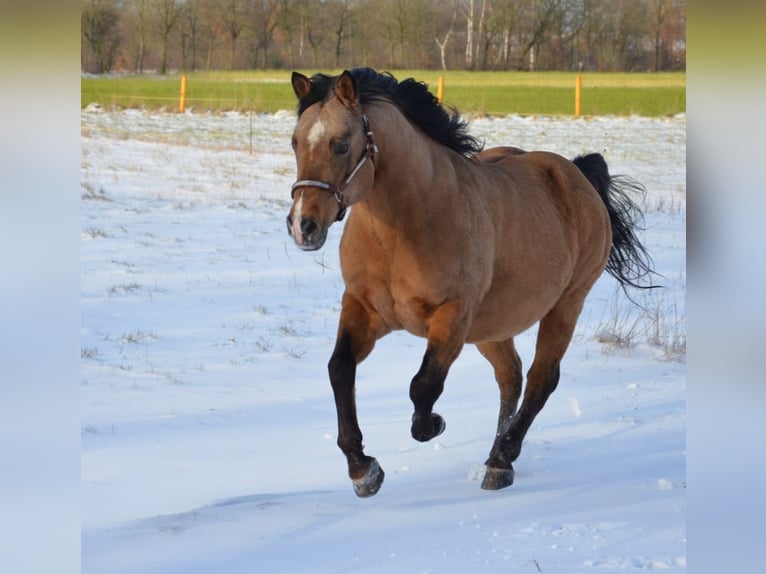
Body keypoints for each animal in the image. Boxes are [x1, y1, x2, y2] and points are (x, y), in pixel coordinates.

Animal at [285, 68, 654, 497]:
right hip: (493, 325)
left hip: (564, 306)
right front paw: (363, 470)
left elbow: (423, 385)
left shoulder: (453, 315)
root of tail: (577, 174)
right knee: (510, 376)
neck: (404, 227)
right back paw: (496, 457)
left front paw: (433, 425)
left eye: (341, 145)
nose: (303, 226)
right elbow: (340, 370)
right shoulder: (364, 308)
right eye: (295, 142)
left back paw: (501, 460)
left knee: (540, 379)